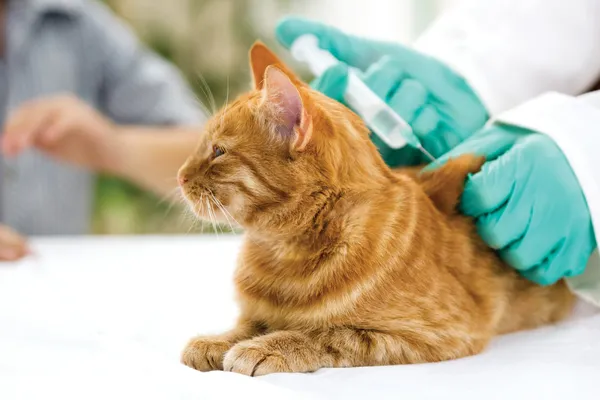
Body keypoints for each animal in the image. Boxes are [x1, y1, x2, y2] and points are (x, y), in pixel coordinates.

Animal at [176, 43, 576, 376]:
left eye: (218, 152)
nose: (179, 176)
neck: (282, 254)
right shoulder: (258, 311)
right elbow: (248, 324)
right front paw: (218, 340)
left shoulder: (441, 332)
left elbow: (328, 334)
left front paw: (267, 347)